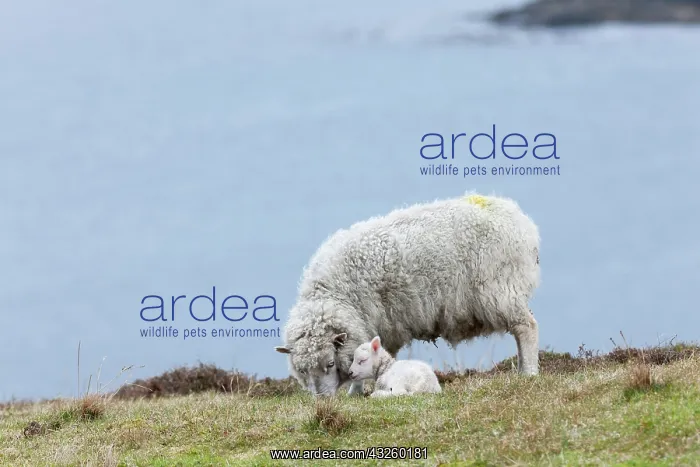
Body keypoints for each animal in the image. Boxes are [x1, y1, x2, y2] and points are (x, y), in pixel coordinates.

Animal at [274, 191, 541, 397]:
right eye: (302, 370)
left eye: (330, 363)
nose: (322, 399)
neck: (334, 294)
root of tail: (522, 221)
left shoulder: (376, 322)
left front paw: (356, 392)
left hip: (502, 289)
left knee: (527, 327)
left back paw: (529, 372)